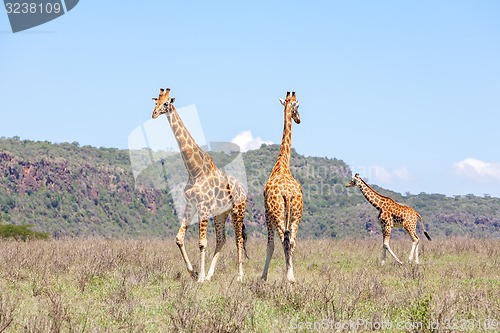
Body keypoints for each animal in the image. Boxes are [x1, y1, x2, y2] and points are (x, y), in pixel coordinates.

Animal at [151, 87, 247, 282]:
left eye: (166, 103)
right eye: (156, 101)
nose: (154, 114)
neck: (194, 170)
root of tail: (243, 189)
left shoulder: (203, 205)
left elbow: (202, 242)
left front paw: (200, 277)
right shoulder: (191, 204)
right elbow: (179, 238)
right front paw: (194, 273)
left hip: (237, 211)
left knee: (238, 239)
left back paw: (239, 276)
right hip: (220, 214)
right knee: (222, 239)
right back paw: (210, 274)